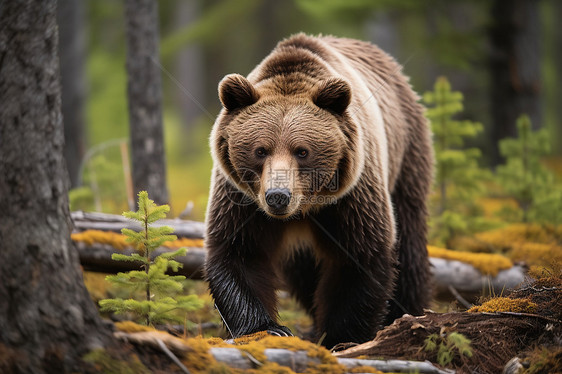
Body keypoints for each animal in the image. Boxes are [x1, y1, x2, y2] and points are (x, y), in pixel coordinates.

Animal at [203, 33, 430, 350]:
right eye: (260, 150)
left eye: (302, 151)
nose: (277, 196)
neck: (307, 206)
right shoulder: (241, 199)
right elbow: (239, 252)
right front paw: (269, 329)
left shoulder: (352, 195)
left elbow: (359, 257)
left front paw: (341, 338)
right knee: (302, 270)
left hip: (406, 153)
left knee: (409, 244)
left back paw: (406, 312)